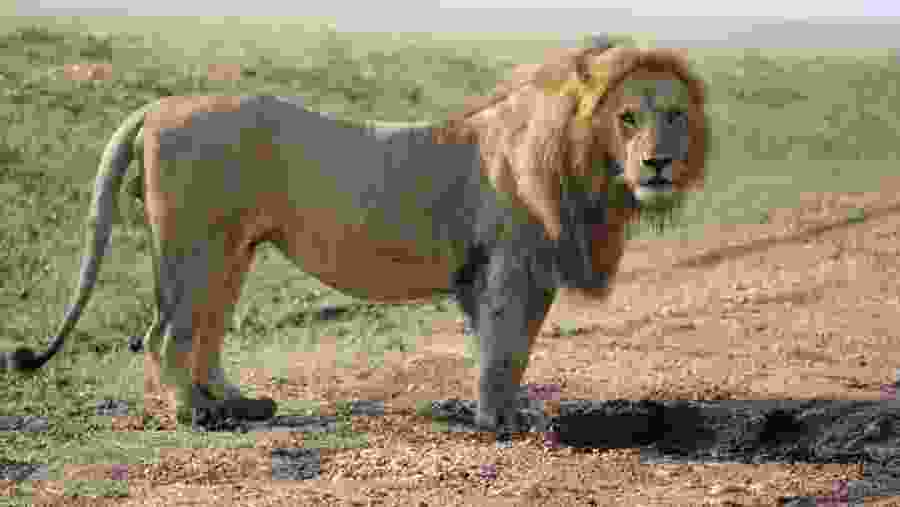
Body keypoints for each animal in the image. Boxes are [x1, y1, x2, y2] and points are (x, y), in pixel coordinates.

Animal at [2, 45, 709, 432]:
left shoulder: (511, 274)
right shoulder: (509, 269)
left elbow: (510, 351)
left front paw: (508, 412)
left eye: (675, 115)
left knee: (205, 333)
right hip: (195, 246)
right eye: (627, 118)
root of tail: (159, 105)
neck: (583, 168)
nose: (658, 164)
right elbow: (504, 350)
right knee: (165, 334)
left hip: (233, 251)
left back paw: (238, 404)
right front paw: (502, 422)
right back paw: (195, 415)